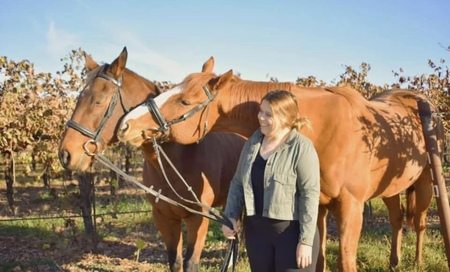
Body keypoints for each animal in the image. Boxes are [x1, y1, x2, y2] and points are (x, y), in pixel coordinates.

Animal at [58, 49, 246, 272]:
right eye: (79, 98)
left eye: (98, 100)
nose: (66, 154)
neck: (177, 159)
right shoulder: (164, 217)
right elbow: (175, 261)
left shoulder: (198, 218)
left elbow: (190, 263)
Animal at [116, 56, 442, 270]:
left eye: (184, 102)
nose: (125, 125)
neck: (321, 127)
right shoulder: (318, 205)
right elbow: (318, 257)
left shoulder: (351, 206)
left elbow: (345, 259)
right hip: (391, 190)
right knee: (397, 220)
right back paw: (395, 262)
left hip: (426, 184)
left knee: (420, 223)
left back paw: (417, 261)